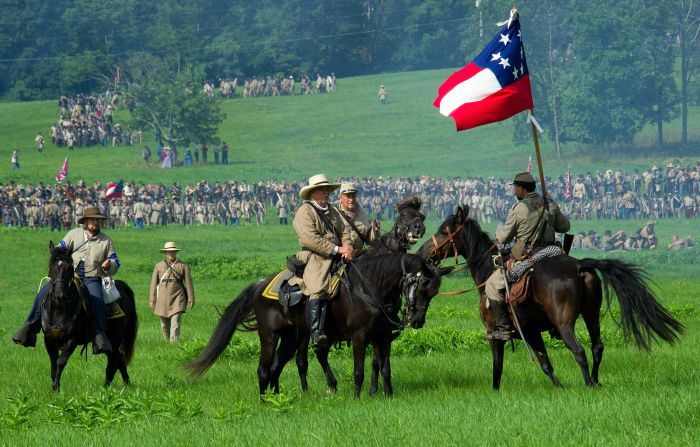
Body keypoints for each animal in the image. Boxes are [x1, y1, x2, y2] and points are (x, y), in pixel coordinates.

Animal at [43, 242, 139, 392]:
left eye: (69, 268)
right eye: (51, 267)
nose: (60, 295)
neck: (59, 310)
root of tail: (122, 290)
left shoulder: (72, 339)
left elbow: (60, 361)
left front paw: (56, 386)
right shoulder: (48, 339)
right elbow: (53, 364)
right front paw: (55, 387)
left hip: (115, 337)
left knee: (116, 359)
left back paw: (120, 385)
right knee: (117, 359)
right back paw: (114, 385)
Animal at [186, 254, 446, 398]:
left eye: (433, 292)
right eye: (421, 284)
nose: (417, 320)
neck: (369, 288)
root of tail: (260, 284)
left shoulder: (382, 337)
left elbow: (385, 369)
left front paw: (388, 396)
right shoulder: (359, 337)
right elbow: (359, 371)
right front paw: (358, 397)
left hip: (291, 338)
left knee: (276, 367)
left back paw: (277, 397)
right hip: (269, 335)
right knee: (264, 369)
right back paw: (264, 401)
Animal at [418, 206, 688, 388]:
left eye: (443, 231)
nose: (423, 252)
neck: (487, 270)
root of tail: (579, 266)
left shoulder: (497, 333)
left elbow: (498, 367)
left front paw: (495, 391)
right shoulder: (532, 332)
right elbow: (546, 364)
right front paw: (559, 387)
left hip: (564, 322)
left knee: (579, 350)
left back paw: (588, 383)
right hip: (592, 315)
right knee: (597, 346)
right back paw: (596, 381)